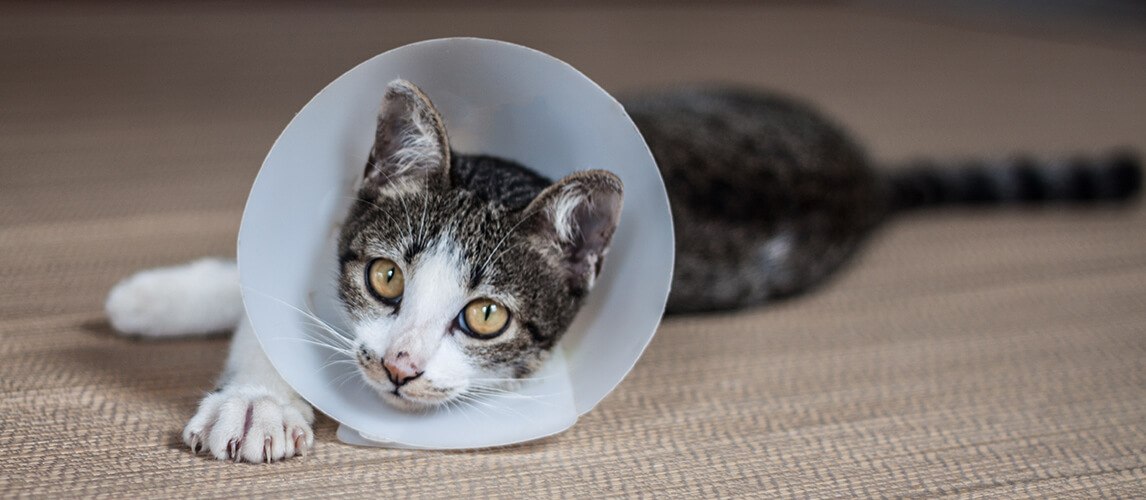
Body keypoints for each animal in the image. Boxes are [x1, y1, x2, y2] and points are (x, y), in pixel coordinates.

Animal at [105, 79, 1136, 465]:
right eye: (388, 279)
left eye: (485, 318)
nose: (397, 367)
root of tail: (865, 173)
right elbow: (271, 292)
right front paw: (225, 360)